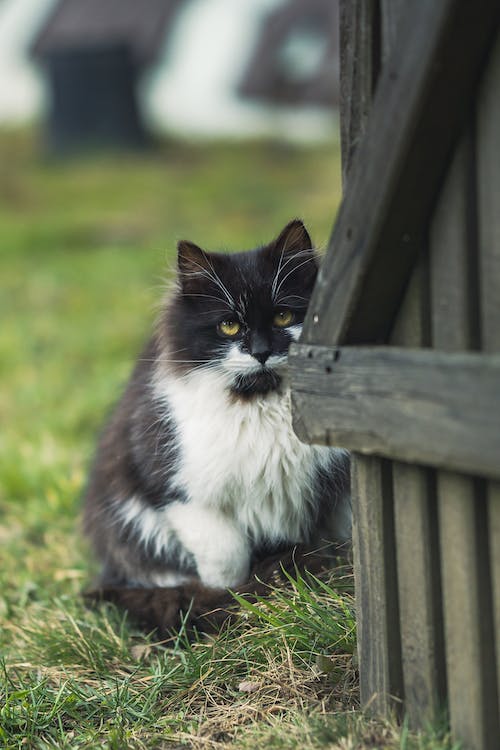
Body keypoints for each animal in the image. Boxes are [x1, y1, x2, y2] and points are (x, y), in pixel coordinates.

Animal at [84, 219, 350, 636]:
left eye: (283, 318)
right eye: (228, 325)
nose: (260, 351)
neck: (258, 401)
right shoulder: (179, 492)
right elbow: (226, 558)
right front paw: (234, 603)